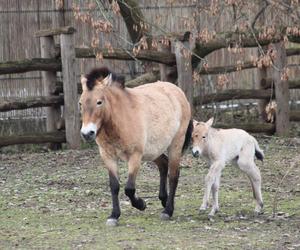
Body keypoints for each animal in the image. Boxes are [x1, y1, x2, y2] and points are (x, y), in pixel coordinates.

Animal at [79, 67, 192, 227]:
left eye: (99, 102)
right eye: (80, 103)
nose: (87, 133)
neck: (119, 119)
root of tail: (178, 91)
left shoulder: (135, 156)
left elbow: (129, 189)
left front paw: (141, 204)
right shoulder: (108, 156)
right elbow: (114, 185)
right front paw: (114, 216)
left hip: (175, 144)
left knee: (173, 175)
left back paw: (168, 211)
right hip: (154, 150)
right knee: (163, 165)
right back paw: (163, 200)